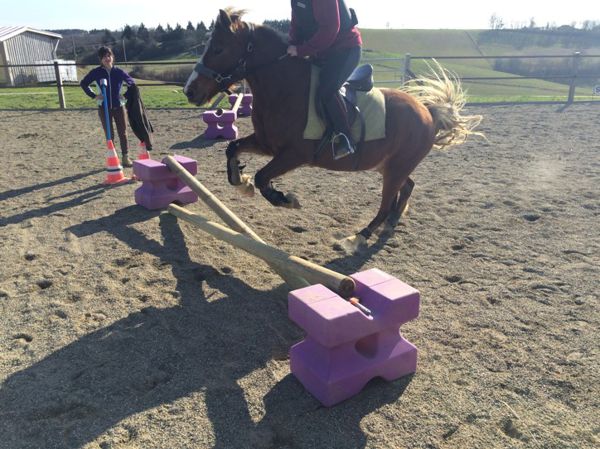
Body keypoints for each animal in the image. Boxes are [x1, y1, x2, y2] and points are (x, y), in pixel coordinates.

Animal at [183, 7, 482, 252]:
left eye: (219, 49)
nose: (189, 90)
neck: (283, 89)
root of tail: (427, 111)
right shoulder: (266, 144)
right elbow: (232, 148)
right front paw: (240, 181)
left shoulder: (295, 154)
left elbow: (262, 177)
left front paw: (285, 199)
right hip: (391, 165)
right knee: (407, 187)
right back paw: (391, 223)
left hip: (396, 167)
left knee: (386, 204)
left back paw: (358, 237)